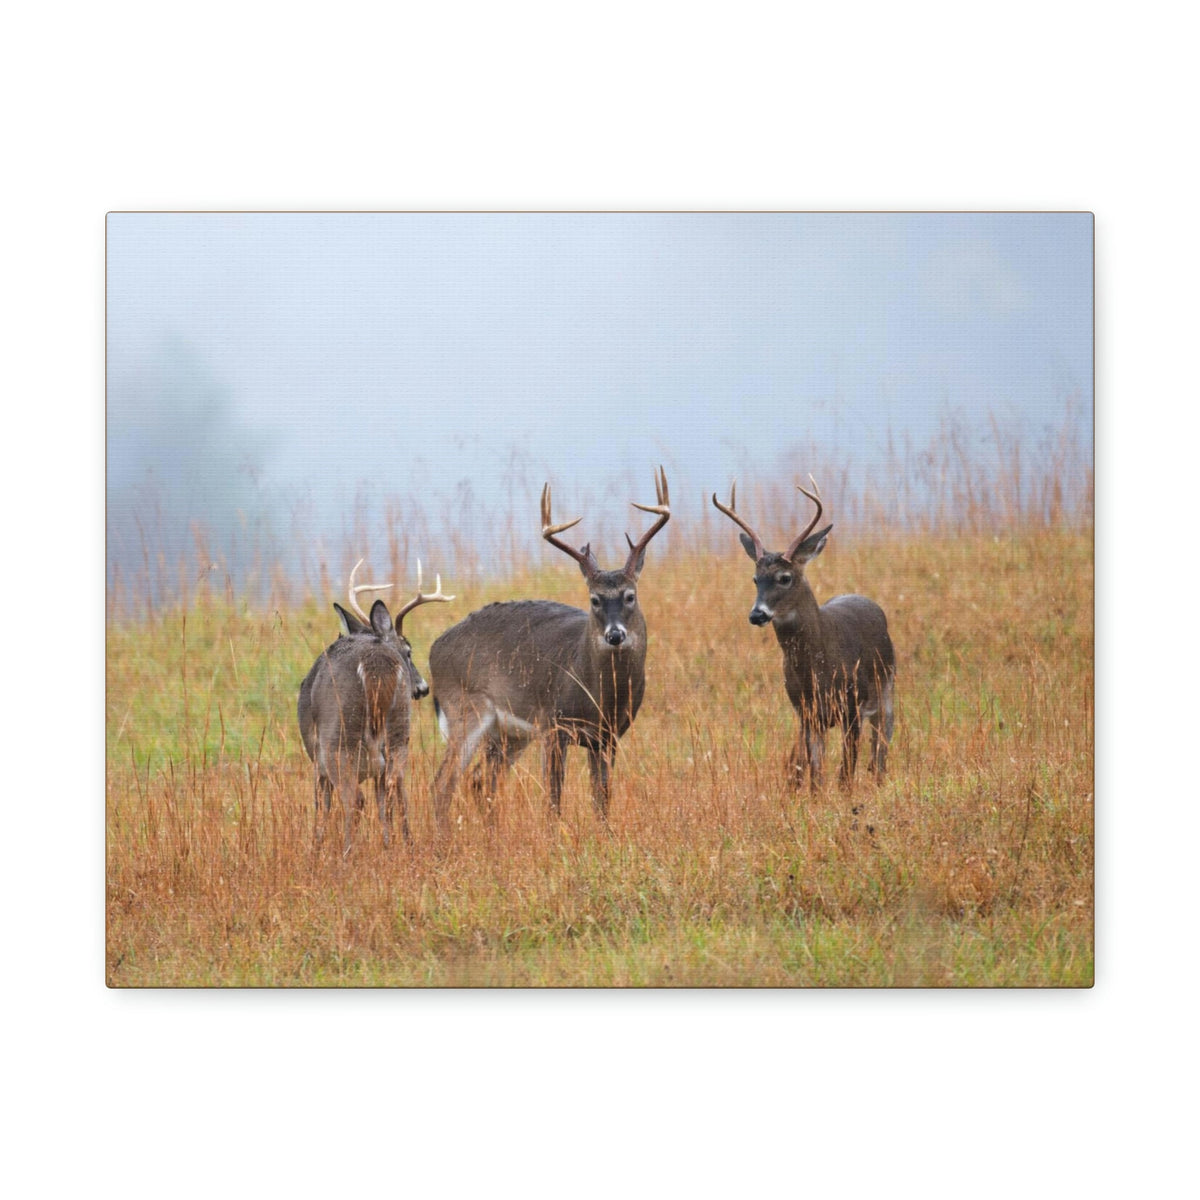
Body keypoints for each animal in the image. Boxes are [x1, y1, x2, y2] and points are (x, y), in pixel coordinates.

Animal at [297, 560, 453, 855]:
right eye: (408, 651)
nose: (423, 688)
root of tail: (374, 661)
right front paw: (390, 845)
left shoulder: (316, 760)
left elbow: (321, 809)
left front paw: (314, 852)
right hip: (399, 732)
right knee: (394, 787)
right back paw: (403, 848)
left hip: (338, 738)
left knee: (355, 799)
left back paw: (346, 855)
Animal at [428, 466, 670, 833]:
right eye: (594, 599)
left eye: (630, 595)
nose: (615, 635)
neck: (599, 695)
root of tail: (433, 649)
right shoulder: (554, 725)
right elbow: (554, 796)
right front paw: (555, 836)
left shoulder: (609, 736)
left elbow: (601, 796)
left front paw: (605, 835)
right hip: (466, 709)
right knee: (444, 782)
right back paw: (443, 839)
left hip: (508, 734)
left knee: (480, 780)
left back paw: (492, 834)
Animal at [712, 476, 895, 791]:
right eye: (755, 579)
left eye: (785, 578)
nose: (757, 614)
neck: (818, 670)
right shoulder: (806, 712)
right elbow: (816, 773)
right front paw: (816, 797)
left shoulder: (852, 705)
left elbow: (846, 772)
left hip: (887, 691)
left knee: (881, 747)